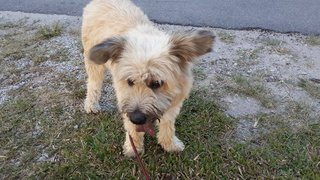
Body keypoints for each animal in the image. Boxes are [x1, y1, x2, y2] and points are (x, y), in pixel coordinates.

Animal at [82, 0, 215, 156]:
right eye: (130, 81)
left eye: (157, 83)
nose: (137, 118)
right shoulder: (126, 97)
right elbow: (132, 129)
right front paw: (133, 148)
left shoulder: (173, 103)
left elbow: (167, 124)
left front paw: (169, 144)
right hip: (94, 63)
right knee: (94, 83)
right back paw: (91, 105)